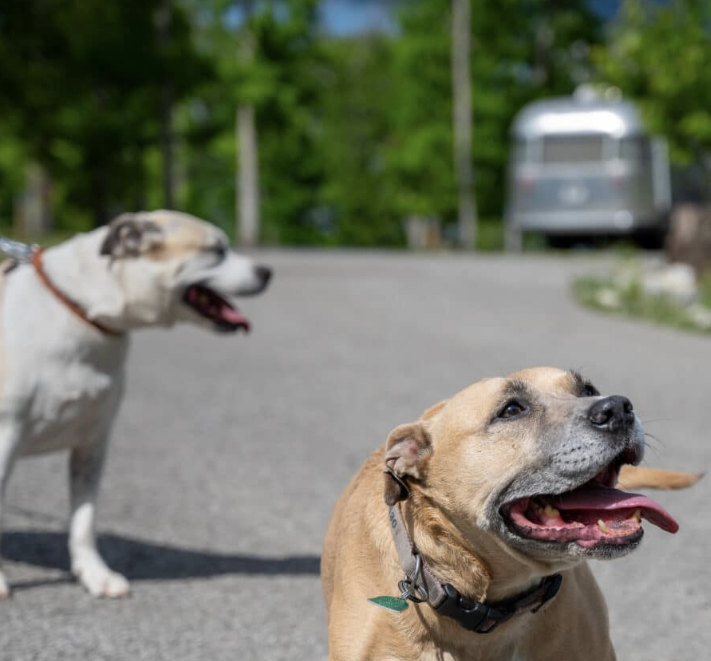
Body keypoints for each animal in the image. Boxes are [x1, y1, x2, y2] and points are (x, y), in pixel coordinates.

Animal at [0, 211, 272, 600]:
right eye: (216, 250)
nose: (267, 271)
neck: (80, 310)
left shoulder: (93, 443)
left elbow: (84, 520)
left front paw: (95, 575)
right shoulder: (6, 437)